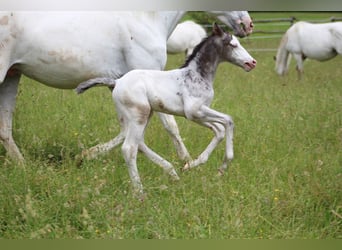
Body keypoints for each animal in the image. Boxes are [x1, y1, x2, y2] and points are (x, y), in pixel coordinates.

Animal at [0, 10, 252, 163]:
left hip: (12, 75)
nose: (247, 25)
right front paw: (187, 161)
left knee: (5, 129)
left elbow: (126, 130)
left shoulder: (121, 85)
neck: (146, 18)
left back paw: (23, 166)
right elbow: (170, 126)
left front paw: (87, 155)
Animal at [76, 23, 255, 194]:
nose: (252, 63)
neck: (197, 75)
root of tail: (117, 82)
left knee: (138, 142)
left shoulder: (198, 114)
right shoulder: (193, 111)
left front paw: (192, 165)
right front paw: (223, 165)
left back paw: (172, 172)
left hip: (141, 115)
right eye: (233, 44)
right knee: (129, 148)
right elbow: (228, 120)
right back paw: (140, 192)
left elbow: (219, 130)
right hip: (139, 115)